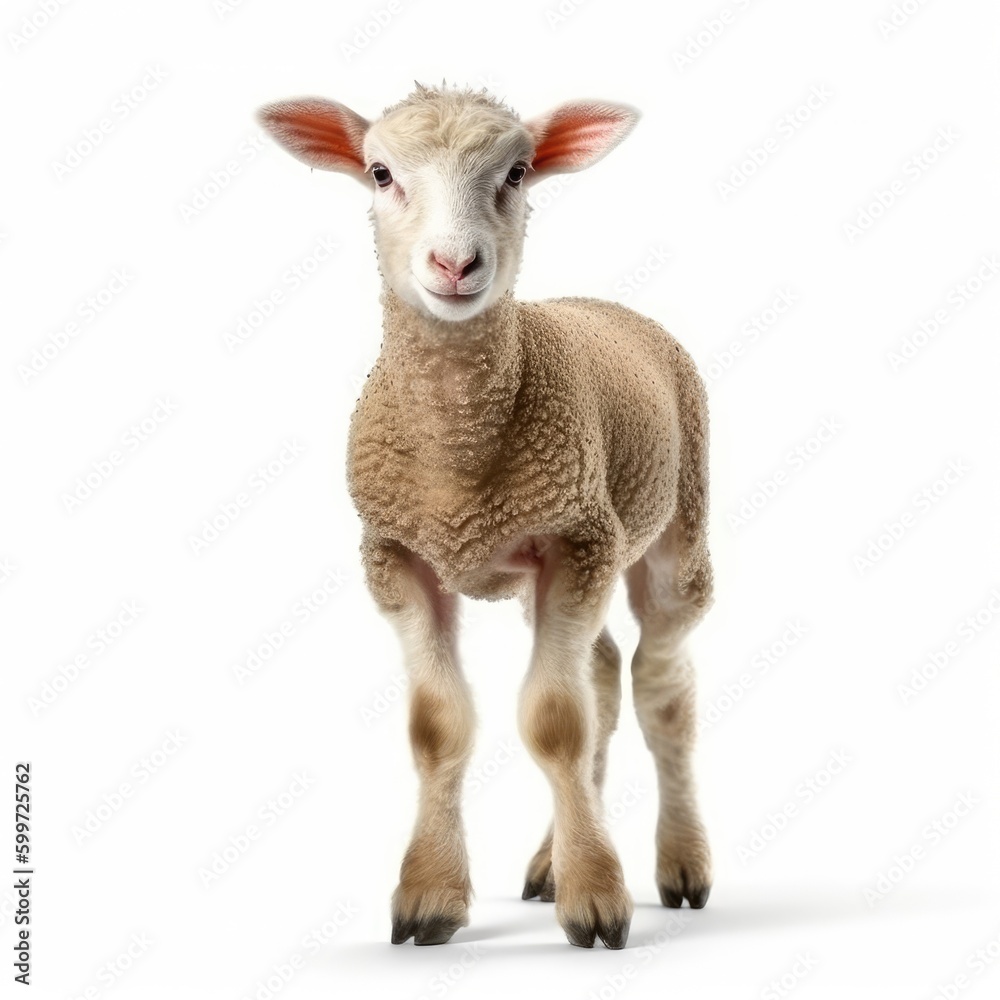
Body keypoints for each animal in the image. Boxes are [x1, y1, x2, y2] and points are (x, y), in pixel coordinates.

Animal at [257, 83, 713, 951]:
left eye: (518, 171)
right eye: (380, 172)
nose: (455, 264)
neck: (459, 460)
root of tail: (602, 303)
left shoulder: (576, 538)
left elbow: (554, 721)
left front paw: (596, 899)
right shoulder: (397, 555)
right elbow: (440, 725)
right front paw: (430, 896)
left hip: (672, 530)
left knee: (661, 690)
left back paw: (680, 866)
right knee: (603, 672)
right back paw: (550, 861)